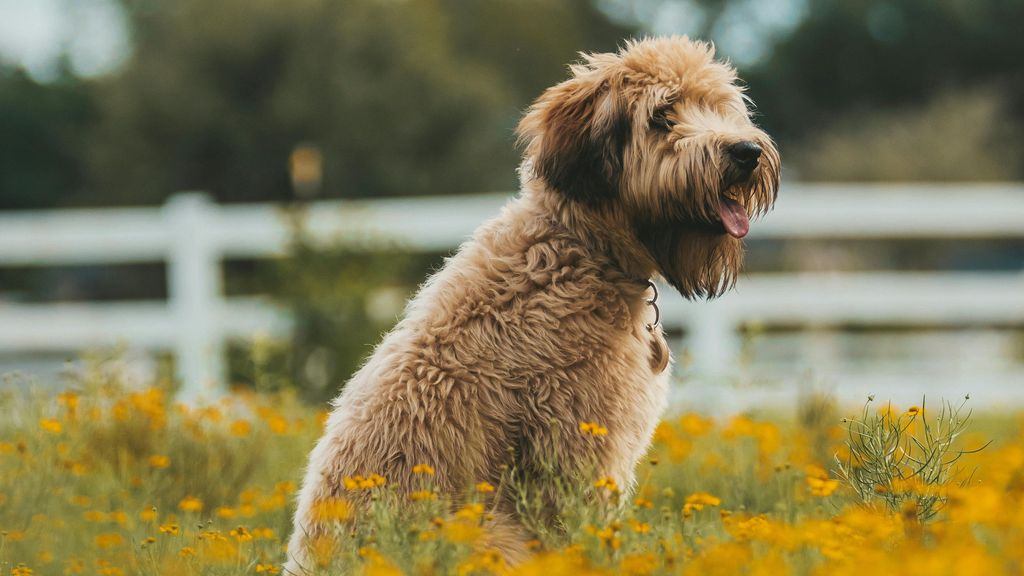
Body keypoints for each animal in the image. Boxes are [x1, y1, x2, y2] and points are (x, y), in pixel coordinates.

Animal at [284, 34, 778, 569]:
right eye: (663, 115)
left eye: (718, 106)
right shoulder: (575, 446)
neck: (581, 249)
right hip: (491, 533)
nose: (746, 151)